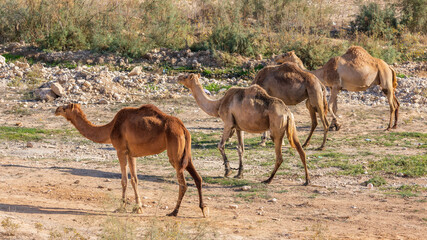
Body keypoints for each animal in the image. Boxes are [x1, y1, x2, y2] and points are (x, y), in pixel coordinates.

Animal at [55, 103, 209, 218]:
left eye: (65, 107)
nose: (56, 109)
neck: (111, 128)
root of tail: (183, 128)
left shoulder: (120, 150)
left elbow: (124, 180)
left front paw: (121, 207)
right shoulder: (131, 153)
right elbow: (135, 179)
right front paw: (138, 208)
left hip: (174, 153)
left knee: (183, 183)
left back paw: (174, 212)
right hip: (185, 154)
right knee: (198, 178)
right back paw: (203, 209)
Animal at [176, 72, 310, 185]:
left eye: (186, 76)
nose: (178, 77)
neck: (218, 104)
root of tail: (287, 112)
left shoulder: (228, 123)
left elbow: (220, 145)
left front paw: (228, 171)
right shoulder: (239, 127)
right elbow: (241, 148)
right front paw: (239, 174)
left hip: (277, 128)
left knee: (279, 156)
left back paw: (268, 179)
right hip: (291, 126)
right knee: (301, 150)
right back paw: (307, 180)